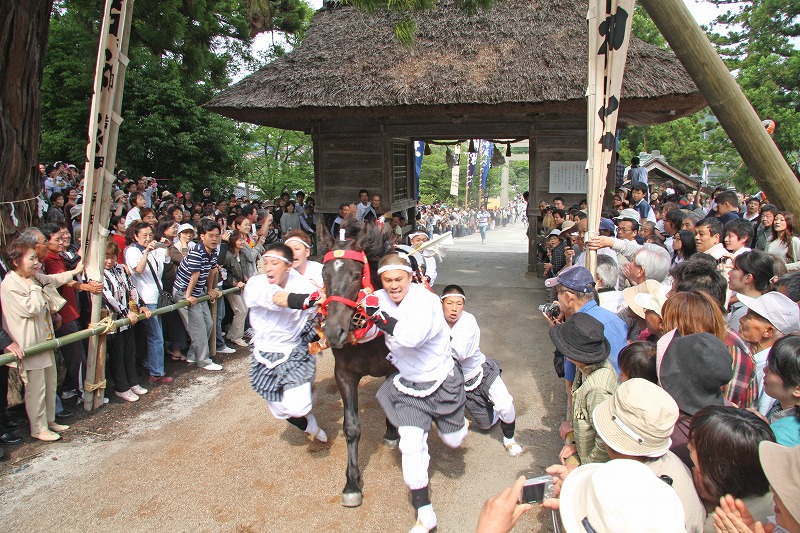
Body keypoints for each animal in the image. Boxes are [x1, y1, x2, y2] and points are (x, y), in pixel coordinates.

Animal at [318, 220, 400, 508]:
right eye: (324, 274)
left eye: (356, 274)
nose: (333, 331)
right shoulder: (344, 374)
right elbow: (351, 428)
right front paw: (352, 484)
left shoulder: (395, 368)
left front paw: (392, 434)